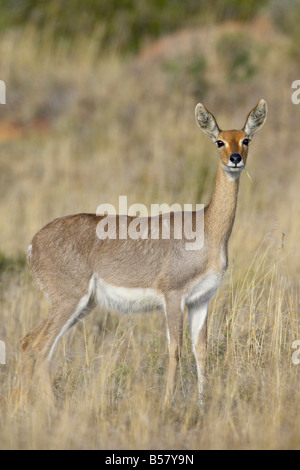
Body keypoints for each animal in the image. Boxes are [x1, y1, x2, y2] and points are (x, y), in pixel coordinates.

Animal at [21, 99, 268, 404]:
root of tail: (33, 244)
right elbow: (175, 349)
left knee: (28, 341)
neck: (208, 229)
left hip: (83, 304)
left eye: (246, 139)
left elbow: (201, 349)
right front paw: (168, 402)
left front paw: (202, 402)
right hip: (69, 300)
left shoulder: (202, 299)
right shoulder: (173, 296)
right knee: (41, 346)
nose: (235, 159)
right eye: (219, 141)